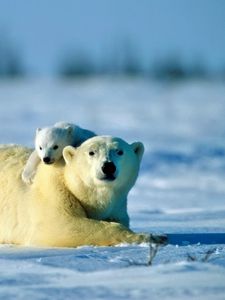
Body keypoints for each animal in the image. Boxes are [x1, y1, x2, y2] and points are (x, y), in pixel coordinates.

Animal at [0, 137, 166, 247]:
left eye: (120, 151)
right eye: (91, 152)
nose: (108, 166)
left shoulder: (117, 206)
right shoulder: (53, 193)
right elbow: (64, 225)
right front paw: (153, 237)